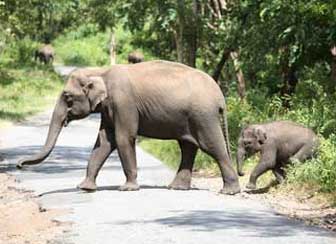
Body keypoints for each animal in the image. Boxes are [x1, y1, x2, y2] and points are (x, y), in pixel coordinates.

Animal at [17, 60, 242, 194]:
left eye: (67, 97)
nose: (18, 165)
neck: (100, 71)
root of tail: (220, 95)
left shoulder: (123, 103)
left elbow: (123, 138)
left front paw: (127, 189)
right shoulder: (108, 108)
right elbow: (104, 142)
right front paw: (85, 188)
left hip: (203, 116)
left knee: (211, 146)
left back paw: (229, 191)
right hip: (189, 117)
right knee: (187, 146)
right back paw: (176, 188)